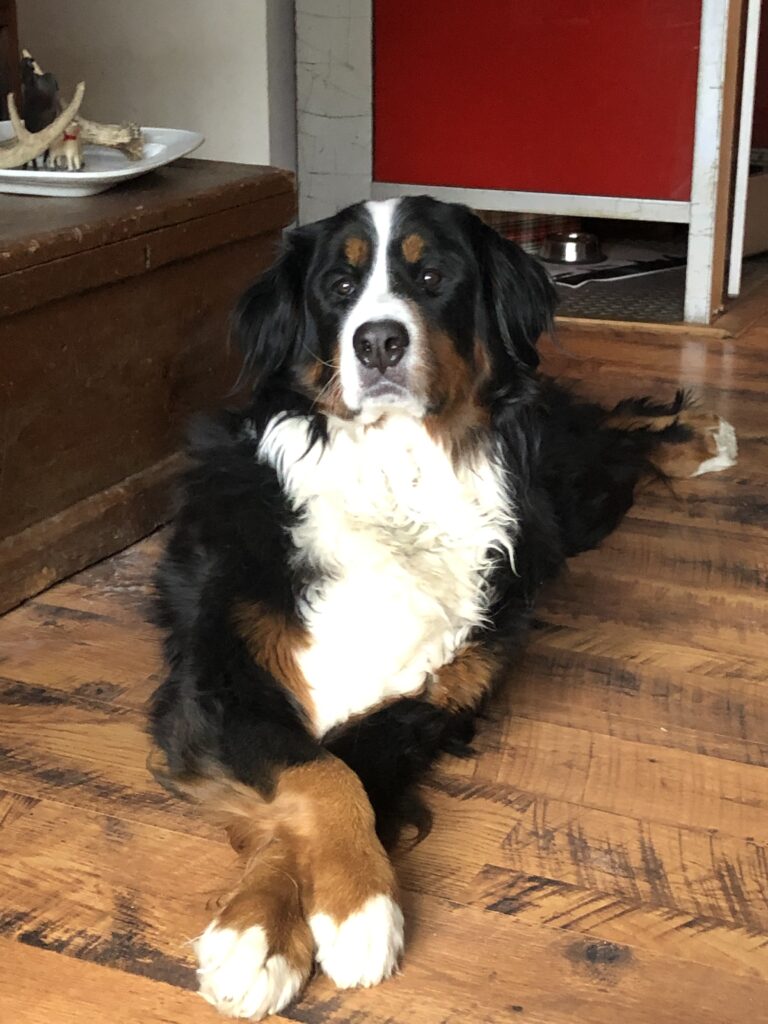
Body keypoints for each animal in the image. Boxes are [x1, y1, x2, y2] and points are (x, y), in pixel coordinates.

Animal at [150, 195, 741, 1019]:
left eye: (431, 278)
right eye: (339, 286)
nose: (378, 341)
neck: (398, 481)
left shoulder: (426, 701)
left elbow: (345, 780)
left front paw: (348, 912)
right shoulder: (220, 683)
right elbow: (314, 775)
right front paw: (266, 932)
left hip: (565, 496)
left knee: (610, 434)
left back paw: (700, 436)